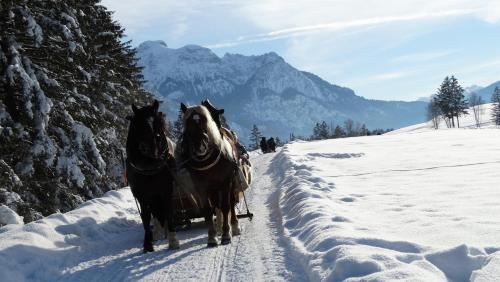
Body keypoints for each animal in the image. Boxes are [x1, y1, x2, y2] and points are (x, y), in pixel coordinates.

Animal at [177, 103, 241, 245]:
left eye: (205, 120)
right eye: (187, 124)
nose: (200, 146)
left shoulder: (225, 182)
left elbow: (226, 206)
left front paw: (226, 235)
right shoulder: (200, 186)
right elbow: (207, 210)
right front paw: (212, 237)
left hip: (231, 182)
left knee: (231, 203)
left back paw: (234, 226)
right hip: (213, 190)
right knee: (216, 206)